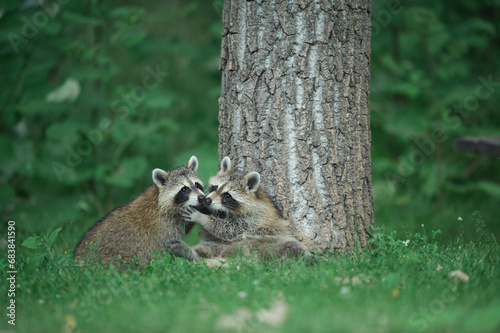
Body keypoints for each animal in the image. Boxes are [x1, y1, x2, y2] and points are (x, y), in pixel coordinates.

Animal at [73, 154, 205, 266]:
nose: (202, 198)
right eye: (184, 189)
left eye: (197, 185)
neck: (159, 198)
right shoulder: (163, 226)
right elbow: (165, 248)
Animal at [170, 157, 314, 260]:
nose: (207, 200)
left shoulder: (253, 217)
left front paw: (202, 217)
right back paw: (190, 253)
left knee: (291, 246)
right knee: (207, 248)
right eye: (215, 187)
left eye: (227, 195)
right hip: (220, 246)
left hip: (273, 241)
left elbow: (229, 229)